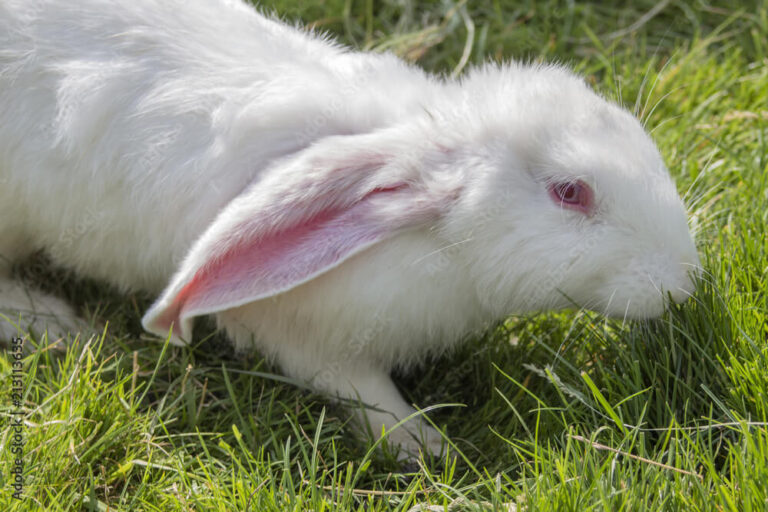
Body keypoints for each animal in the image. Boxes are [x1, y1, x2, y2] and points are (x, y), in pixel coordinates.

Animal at [0, 0, 699, 457]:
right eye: (570, 192)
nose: (684, 283)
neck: (432, 237)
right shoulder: (306, 336)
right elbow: (364, 395)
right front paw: (429, 448)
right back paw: (52, 323)